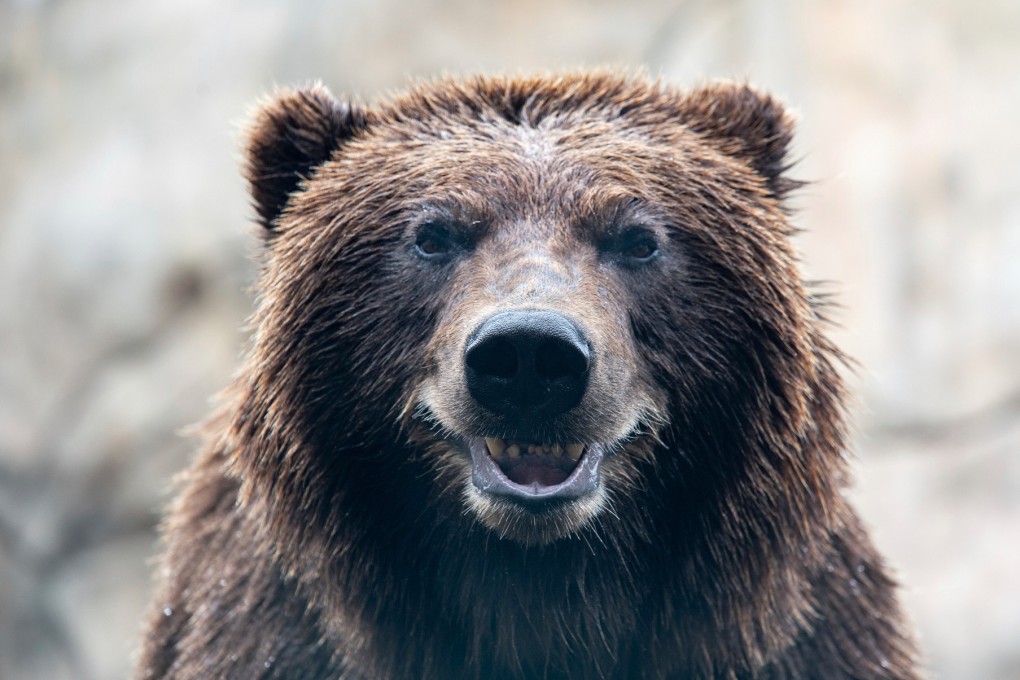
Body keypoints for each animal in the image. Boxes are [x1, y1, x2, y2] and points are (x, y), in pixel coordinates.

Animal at [136, 72, 922, 679]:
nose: (529, 356)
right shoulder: (270, 631)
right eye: (433, 234)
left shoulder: (804, 637)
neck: (539, 595)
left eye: (638, 238)